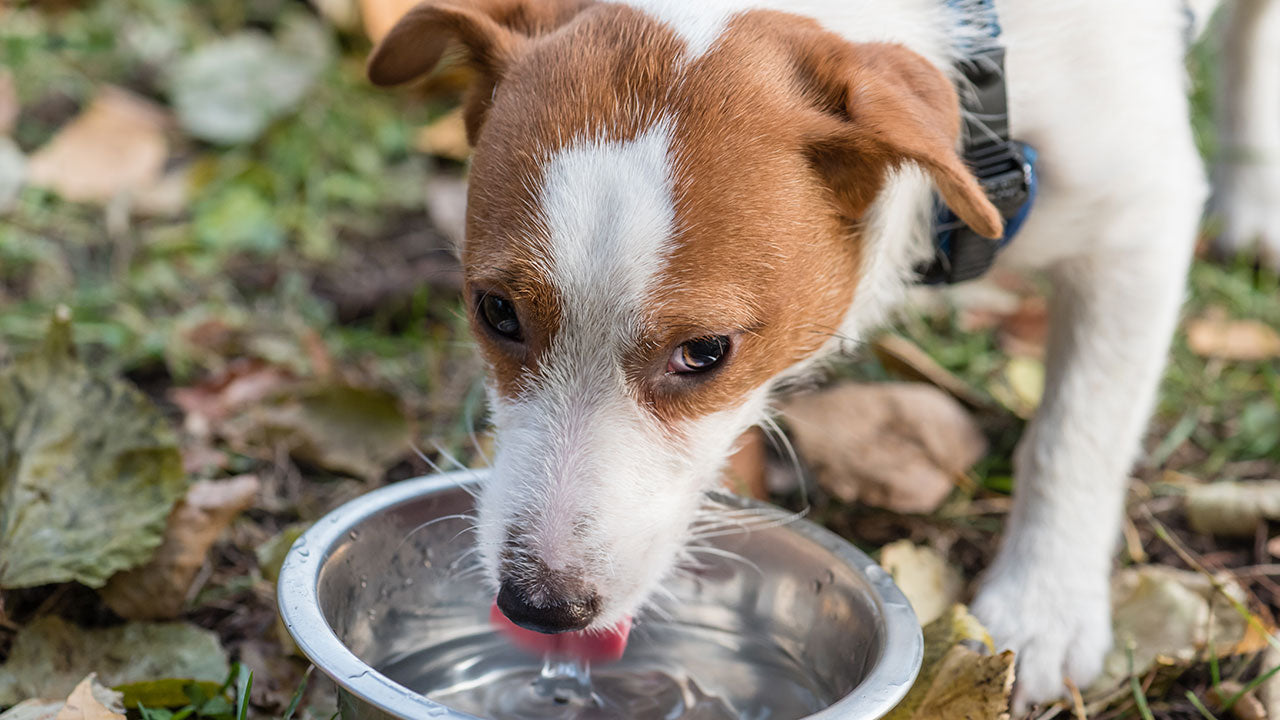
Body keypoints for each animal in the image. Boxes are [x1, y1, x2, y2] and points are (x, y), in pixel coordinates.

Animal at [366, 0, 1280, 707]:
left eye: (706, 351)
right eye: (496, 312)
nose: (540, 607)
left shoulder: (1141, 224)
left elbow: (1075, 435)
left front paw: (1043, 605)